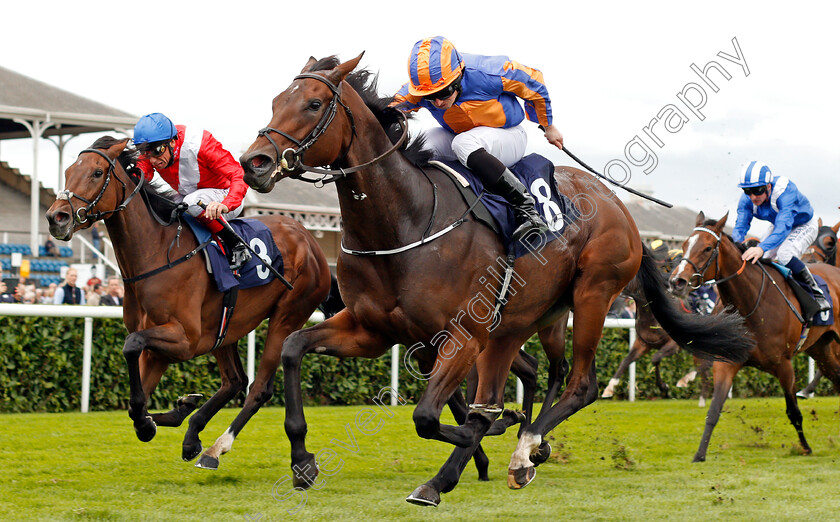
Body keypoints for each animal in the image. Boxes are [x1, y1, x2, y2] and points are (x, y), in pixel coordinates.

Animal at [44, 136, 330, 470]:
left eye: (97, 173)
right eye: (68, 171)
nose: (56, 218)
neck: (157, 254)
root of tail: (309, 240)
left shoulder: (185, 340)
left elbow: (131, 345)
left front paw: (150, 422)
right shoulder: (161, 346)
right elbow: (134, 396)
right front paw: (159, 417)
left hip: (288, 315)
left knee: (258, 388)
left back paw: (214, 448)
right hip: (227, 327)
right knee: (234, 381)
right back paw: (192, 430)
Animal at [240, 53, 752, 504]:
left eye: (313, 104)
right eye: (274, 101)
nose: (255, 162)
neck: (404, 221)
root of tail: (619, 207)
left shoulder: (461, 336)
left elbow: (430, 417)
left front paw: (496, 431)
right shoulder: (373, 330)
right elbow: (293, 349)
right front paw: (303, 462)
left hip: (593, 294)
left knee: (580, 383)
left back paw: (521, 450)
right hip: (528, 319)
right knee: (546, 373)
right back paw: (494, 456)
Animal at [672, 210, 840, 460]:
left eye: (708, 248)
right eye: (684, 245)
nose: (677, 281)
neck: (749, 304)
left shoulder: (784, 364)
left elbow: (793, 412)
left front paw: (805, 447)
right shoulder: (727, 362)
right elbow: (714, 409)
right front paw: (699, 455)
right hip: (821, 350)